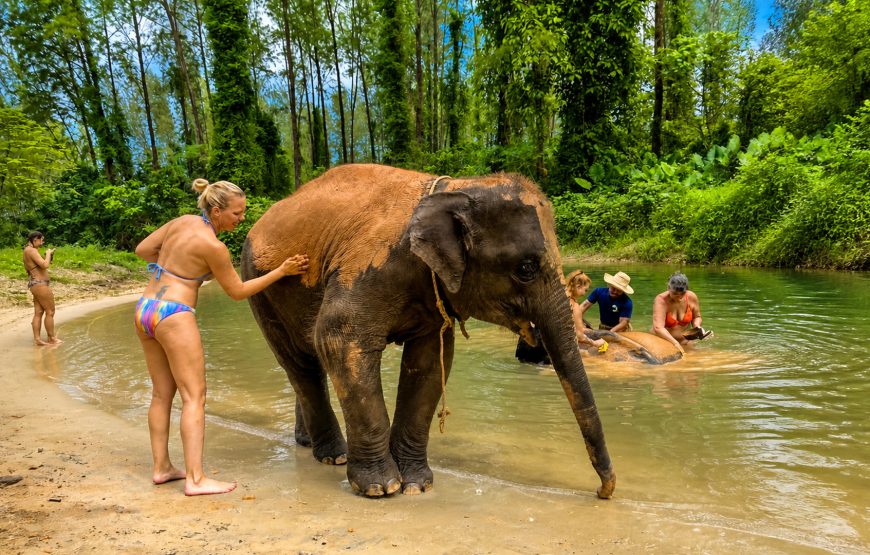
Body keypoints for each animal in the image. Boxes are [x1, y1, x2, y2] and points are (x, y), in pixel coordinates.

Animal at [240, 163, 615, 499]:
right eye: (526, 268)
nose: (602, 491)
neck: (450, 189)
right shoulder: (366, 268)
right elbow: (337, 339)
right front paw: (381, 488)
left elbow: (430, 364)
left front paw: (417, 486)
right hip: (257, 283)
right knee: (300, 362)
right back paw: (334, 455)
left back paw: (309, 444)